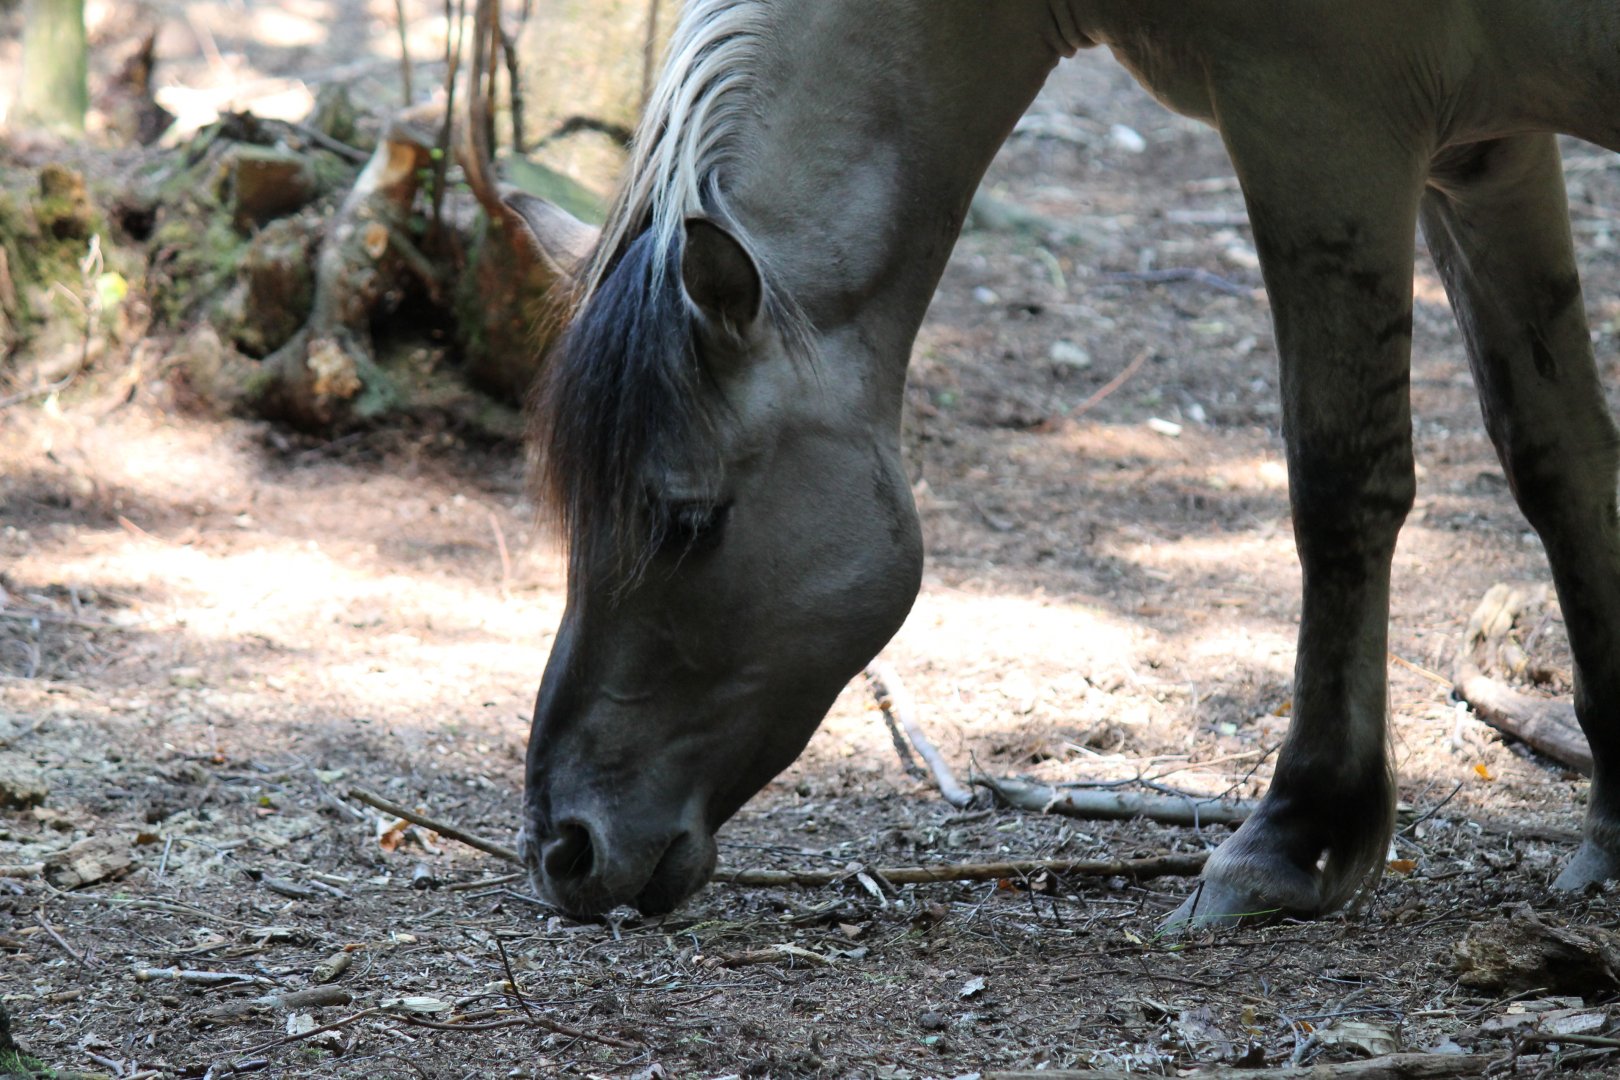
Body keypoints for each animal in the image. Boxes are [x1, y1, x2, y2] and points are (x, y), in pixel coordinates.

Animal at [504, 0, 1620, 927]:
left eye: (686, 520)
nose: (564, 847)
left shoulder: (1325, 119)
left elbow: (1341, 483)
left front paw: (1296, 839)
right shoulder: (1483, 149)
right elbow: (1558, 459)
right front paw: (1612, 832)